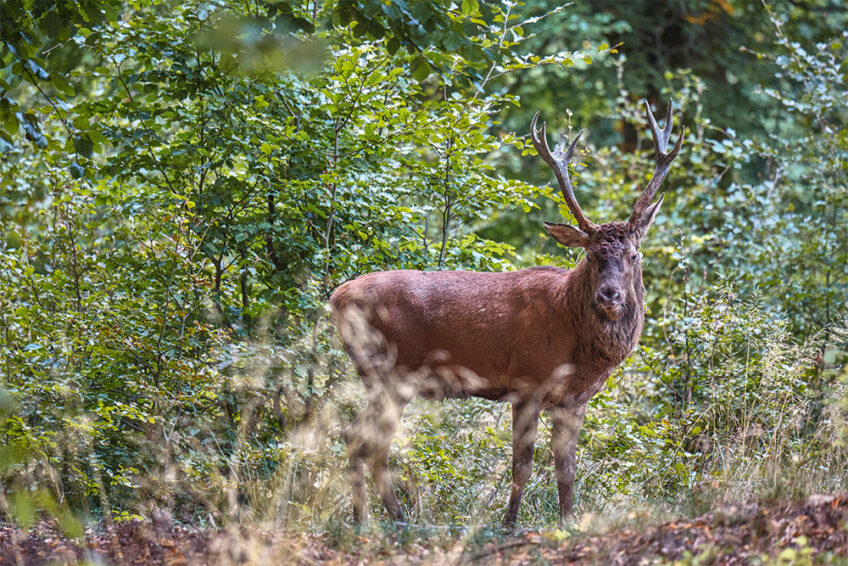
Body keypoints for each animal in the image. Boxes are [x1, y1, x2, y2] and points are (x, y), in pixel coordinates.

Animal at [330, 100, 684, 526]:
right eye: (591, 255)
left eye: (633, 255)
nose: (610, 294)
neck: (577, 340)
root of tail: (336, 298)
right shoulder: (528, 383)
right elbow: (523, 466)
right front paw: (509, 523)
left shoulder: (573, 401)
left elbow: (566, 469)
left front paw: (567, 522)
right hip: (389, 370)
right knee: (366, 441)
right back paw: (390, 520)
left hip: (381, 375)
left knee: (360, 439)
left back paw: (366, 519)